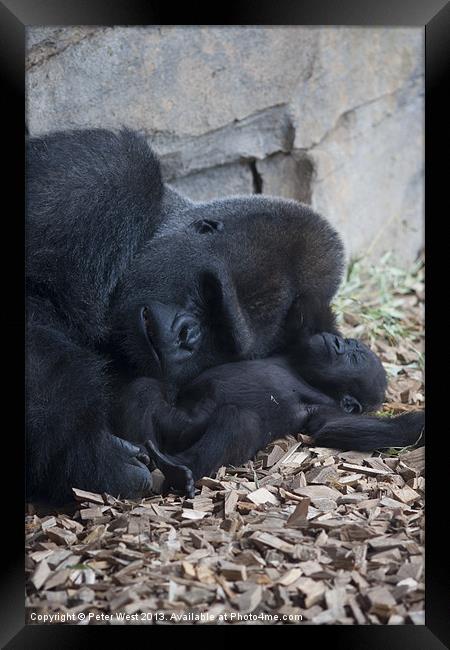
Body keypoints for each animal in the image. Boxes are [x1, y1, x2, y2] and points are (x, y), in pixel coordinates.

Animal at [117, 334, 426, 496]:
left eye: (353, 358)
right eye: (349, 345)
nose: (339, 341)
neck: (307, 375)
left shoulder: (326, 409)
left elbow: (333, 428)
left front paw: (416, 425)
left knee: (240, 421)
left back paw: (180, 470)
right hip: (174, 422)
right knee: (145, 391)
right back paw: (136, 451)